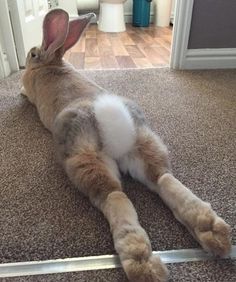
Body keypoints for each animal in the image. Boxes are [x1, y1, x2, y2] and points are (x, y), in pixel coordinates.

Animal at [21, 8, 231, 282]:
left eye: (33, 54)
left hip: (85, 160)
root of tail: (109, 118)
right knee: (162, 178)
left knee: (115, 196)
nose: (27, 59)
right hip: (144, 144)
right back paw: (213, 232)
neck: (51, 63)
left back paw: (143, 265)